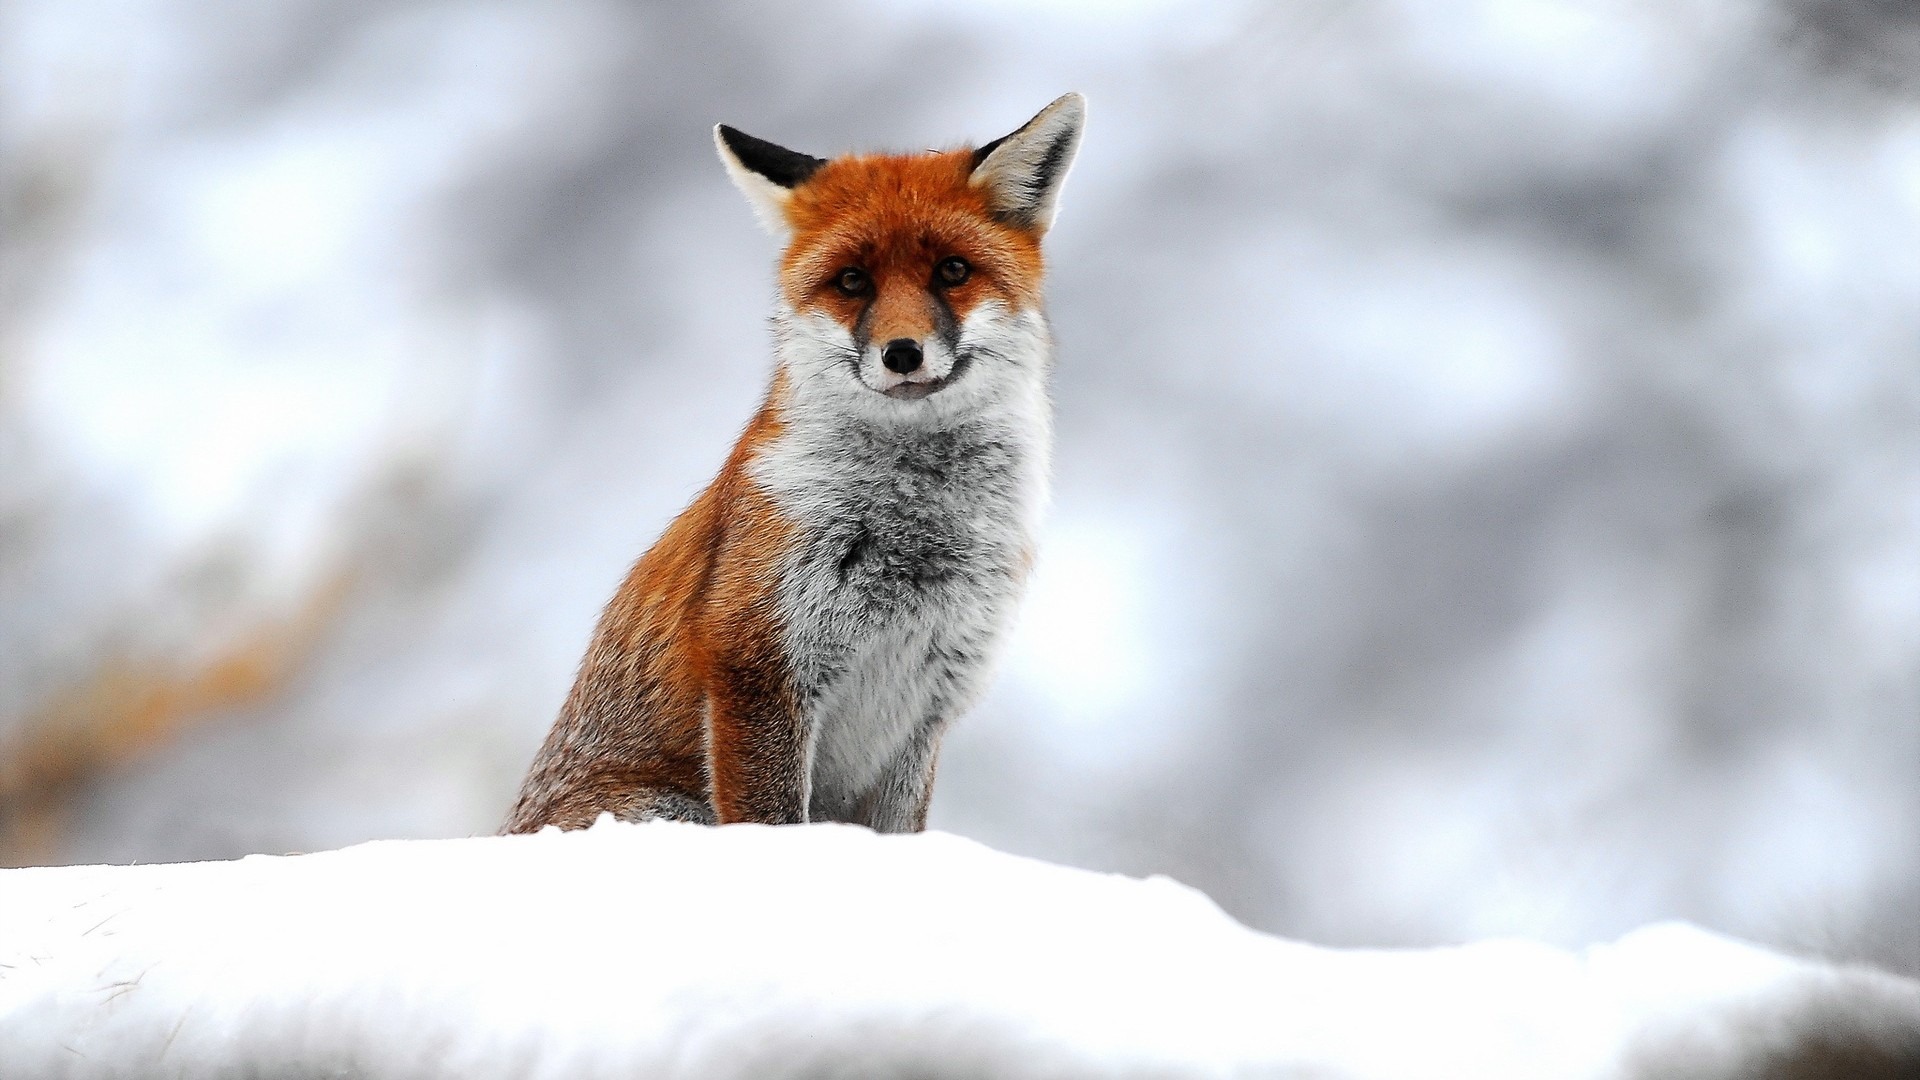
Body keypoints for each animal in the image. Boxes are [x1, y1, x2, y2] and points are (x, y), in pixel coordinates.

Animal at [503, 94, 1090, 834]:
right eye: (852, 281)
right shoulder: (759, 665)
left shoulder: (925, 708)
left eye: (953, 271)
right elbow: (775, 821)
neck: (917, 532)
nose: (902, 352)